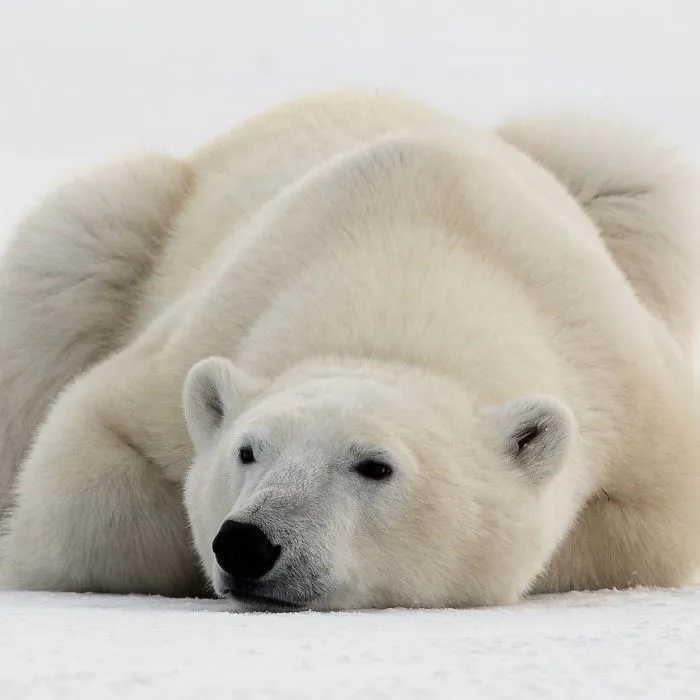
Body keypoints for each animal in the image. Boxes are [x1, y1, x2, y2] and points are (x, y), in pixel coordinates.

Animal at [1, 88, 700, 609]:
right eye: (248, 450)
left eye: (375, 466)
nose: (247, 544)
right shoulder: (197, 337)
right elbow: (82, 474)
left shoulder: (627, 383)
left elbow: (646, 533)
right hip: (126, 225)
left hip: (613, 184)